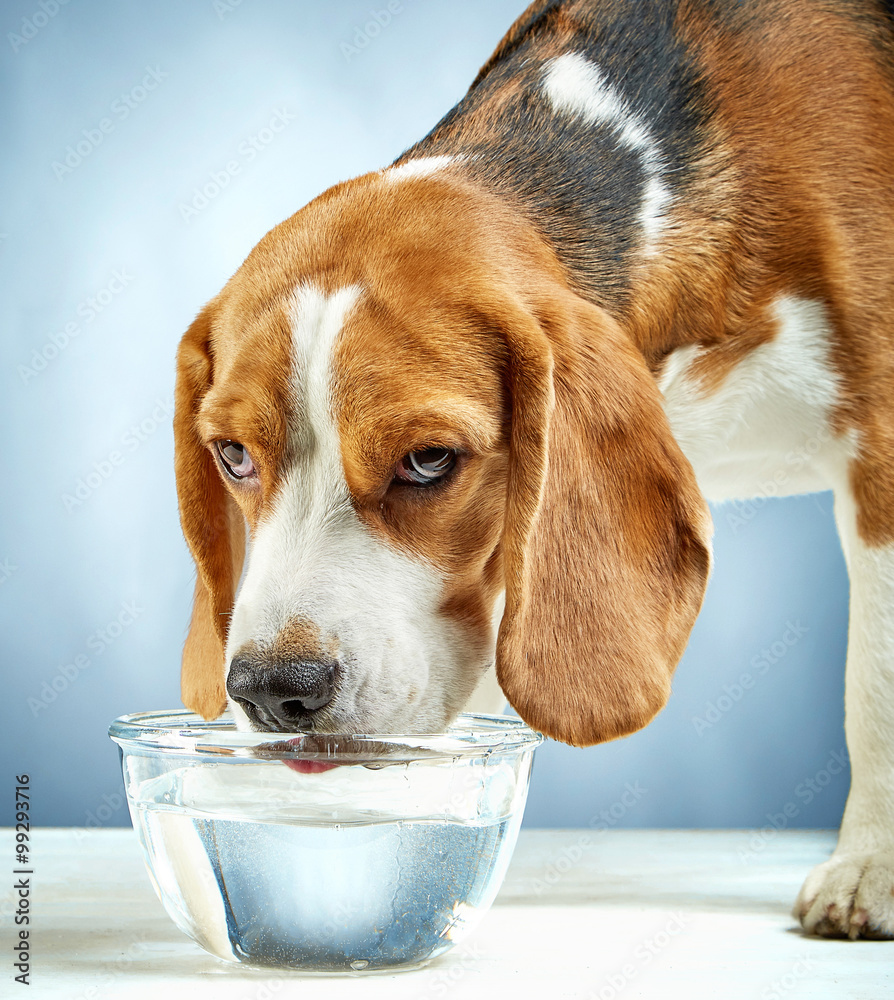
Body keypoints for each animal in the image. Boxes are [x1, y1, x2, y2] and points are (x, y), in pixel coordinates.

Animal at [177, 0, 894, 936]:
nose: (272, 691)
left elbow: (876, 679)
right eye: (232, 455)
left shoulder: (884, 452)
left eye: (428, 460)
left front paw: (872, 867)